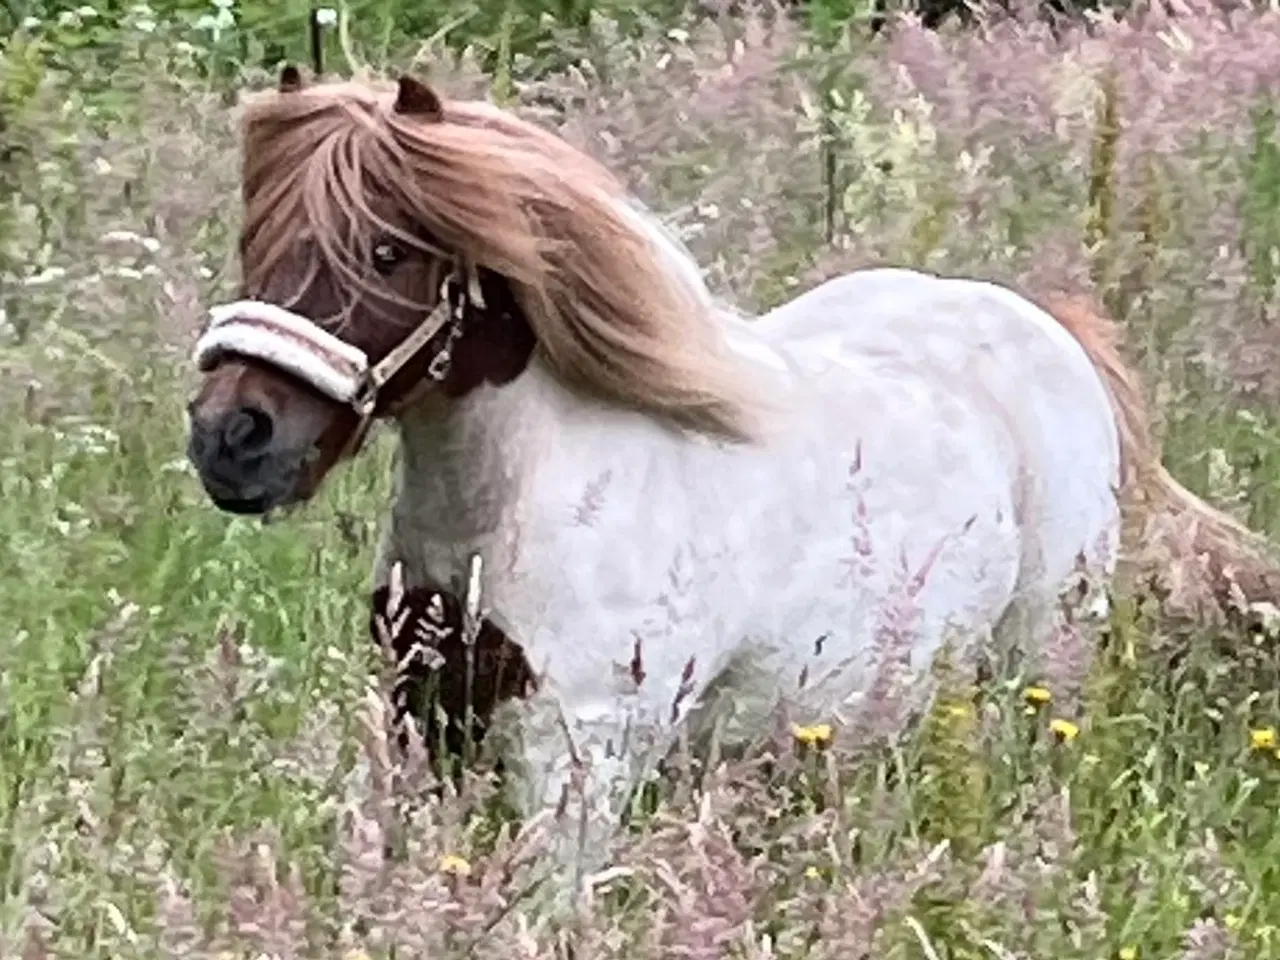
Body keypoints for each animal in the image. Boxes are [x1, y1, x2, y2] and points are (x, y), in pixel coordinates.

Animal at [185, 65, 1274, 911]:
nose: (231, 440)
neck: (517, 508)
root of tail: (1052, 333)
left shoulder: (577, 758)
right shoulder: (429, 724)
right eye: (255, 240)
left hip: (1036, 673)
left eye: (385, 251)